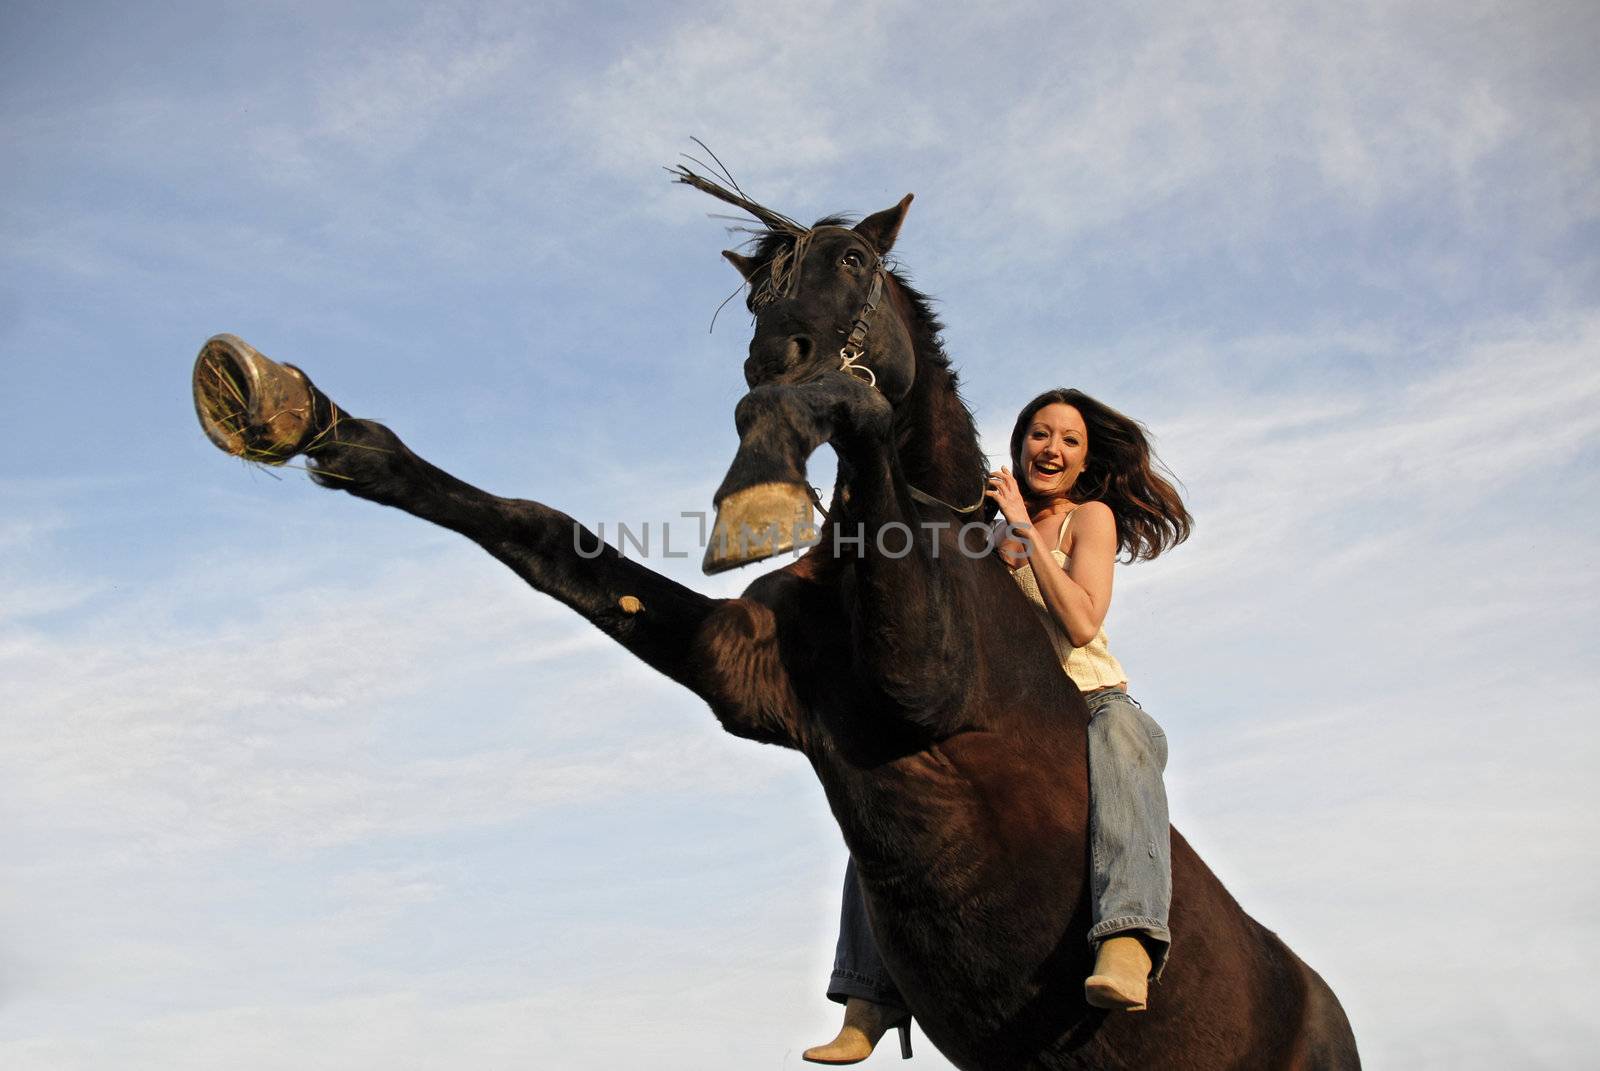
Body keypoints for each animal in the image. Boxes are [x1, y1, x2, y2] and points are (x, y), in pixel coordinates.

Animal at [190, 171, 1363, 1062]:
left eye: (855, 269)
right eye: (757, 297)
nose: (771, 355)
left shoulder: (921, 686)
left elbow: (851, 412)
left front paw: (758, 486)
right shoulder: (744, 669)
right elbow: (542, 533)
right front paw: (305, 418)